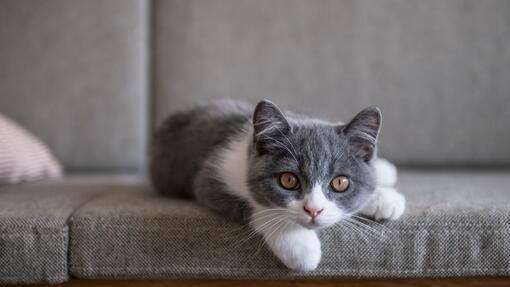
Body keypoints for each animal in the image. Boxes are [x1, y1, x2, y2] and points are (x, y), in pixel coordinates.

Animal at [149, 100, 404, 272]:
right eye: (288, 180)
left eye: (340, 182)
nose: (314, 210)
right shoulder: (210, 176)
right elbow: (258, 208)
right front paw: (300, 246)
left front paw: (383, 198)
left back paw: (385, 170)